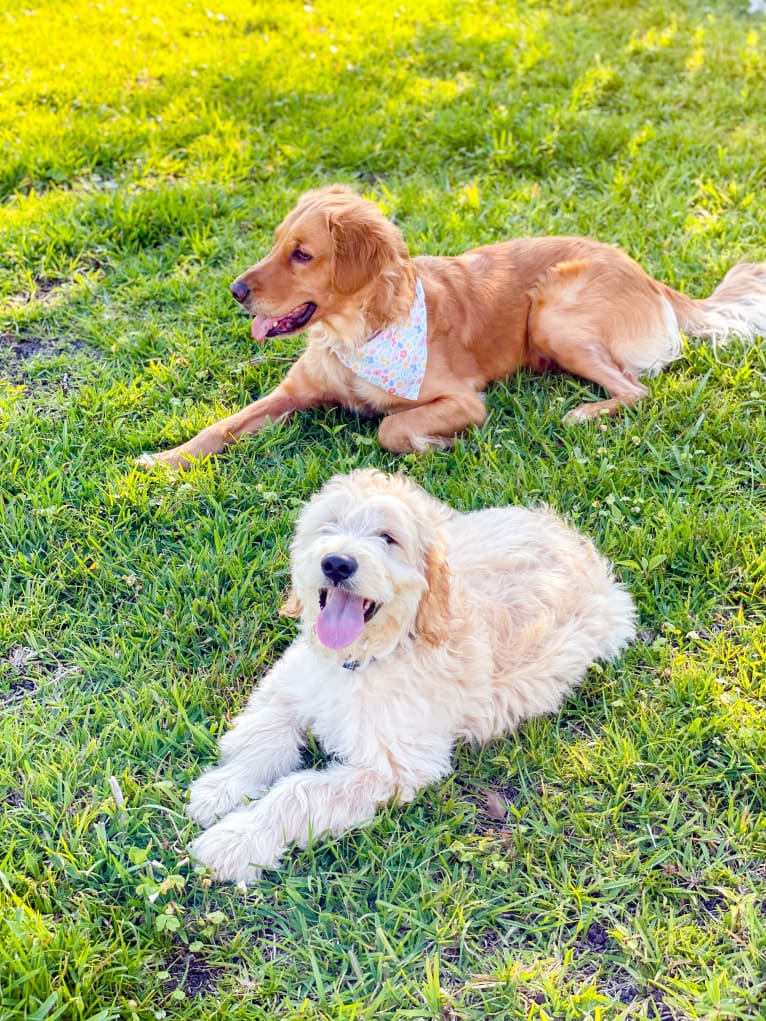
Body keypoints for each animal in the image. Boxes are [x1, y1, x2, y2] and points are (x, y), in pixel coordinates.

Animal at [185, 471, 637, 886]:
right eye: (329, 525)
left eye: (388, 538)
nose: (337, 563)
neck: (360, 659)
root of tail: (564, 532)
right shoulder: (288, 688)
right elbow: (262, 738)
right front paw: (220, 790)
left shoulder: (391, 767)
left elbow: (299, 793)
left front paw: (235, 841)